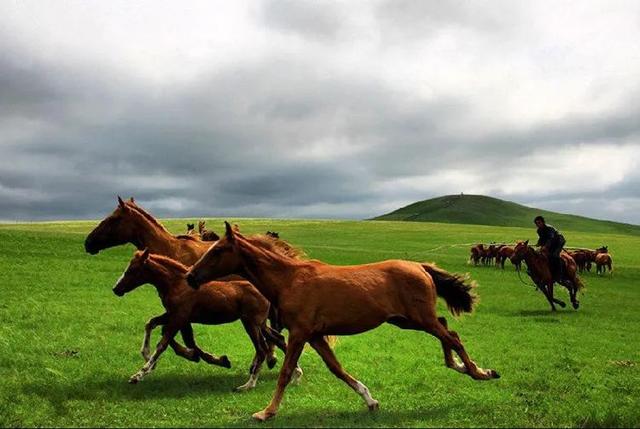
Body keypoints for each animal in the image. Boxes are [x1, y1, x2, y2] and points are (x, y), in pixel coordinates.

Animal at [112, 247, 290, 388]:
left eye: (132, 270)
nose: (116, 288)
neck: (177, 284)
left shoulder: (179, 317)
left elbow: (163, 343)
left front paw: (139, 374)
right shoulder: (173, 314)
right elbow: (150, 323)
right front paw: (146, 354)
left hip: (251, 324)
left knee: (263, 348)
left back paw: (253, 381)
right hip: (259, 324)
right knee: (278, 339)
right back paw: (289, 371)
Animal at [186, 224, 500, 422]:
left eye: (216, 251)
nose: (190, 276)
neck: (289, 280)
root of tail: (421, 266)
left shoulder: (299, 333)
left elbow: (286, 372)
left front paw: (266, 412)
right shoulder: (314, 335)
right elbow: (336, 369)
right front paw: (370, 400)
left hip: (418, 319)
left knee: (452, 336)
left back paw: (480, 372)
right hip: (407, 320)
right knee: (448, 328)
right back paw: (460, 366)